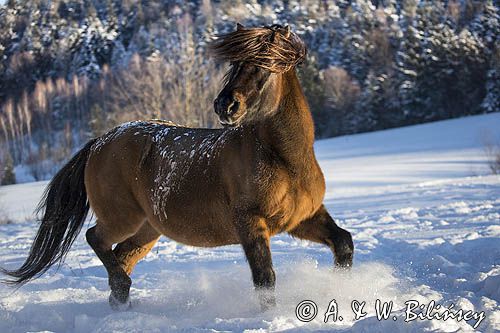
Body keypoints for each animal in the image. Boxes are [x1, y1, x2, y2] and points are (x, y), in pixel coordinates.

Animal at [0, 24, 354, 310]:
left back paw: (120, 302)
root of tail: (100, 142)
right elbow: (265, 278)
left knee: (121, 256)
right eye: (235, 64)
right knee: (96, 239)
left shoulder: (302, 217)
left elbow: (343, 242)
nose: (225, 105)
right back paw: (121, 290)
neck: (285, 160)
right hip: (122, 219)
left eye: (264, 64)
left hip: (147, 230)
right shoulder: (251, 223)